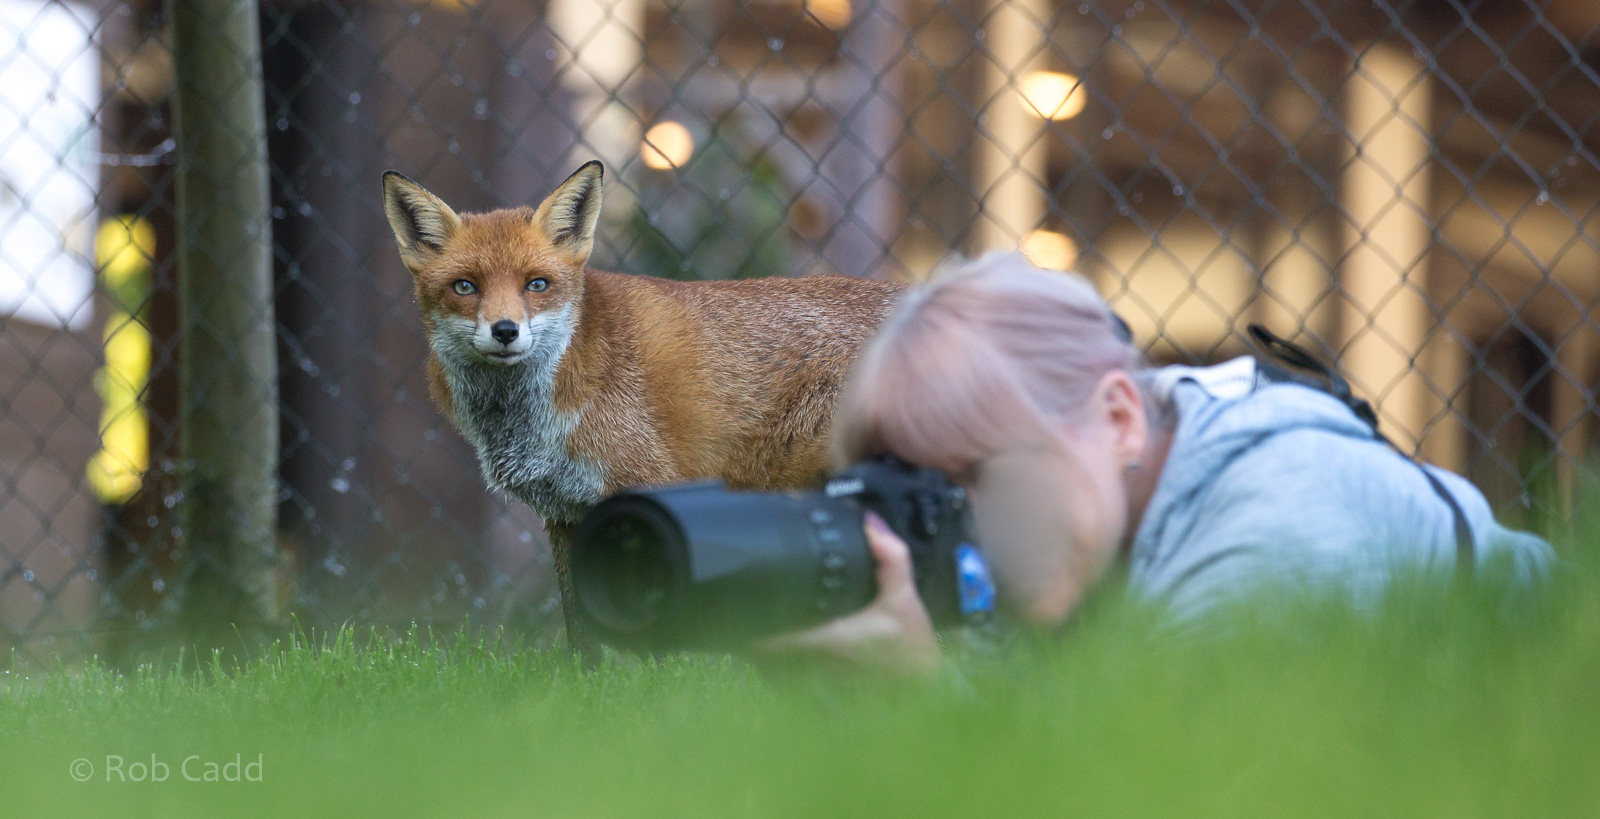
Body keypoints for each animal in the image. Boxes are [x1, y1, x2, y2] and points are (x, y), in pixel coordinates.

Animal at [381, 161, 903, 648]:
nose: (505, 330)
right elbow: (582, 638)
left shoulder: (652, 490)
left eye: (537, 284)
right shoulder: (565, 513)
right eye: (465, 287)